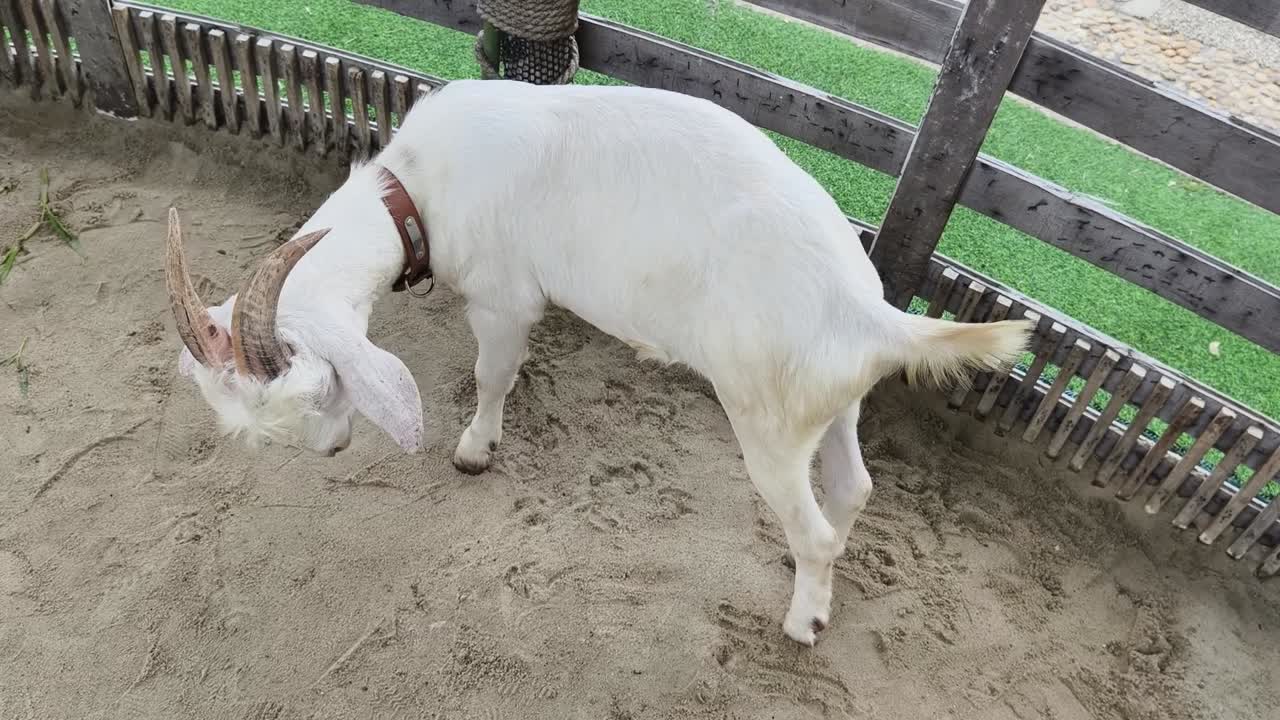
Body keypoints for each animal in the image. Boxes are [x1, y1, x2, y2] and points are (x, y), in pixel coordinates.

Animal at [165, 79, 1031, 645]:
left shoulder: (504, 297)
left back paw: (801, 622)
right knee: (853, 488)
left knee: (814, 527)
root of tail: (871, 315)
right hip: (830, 398)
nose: (332, 450)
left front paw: (475, 451)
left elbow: (492, 374)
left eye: (316, 394)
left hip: (769, 416)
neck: (415, 189)